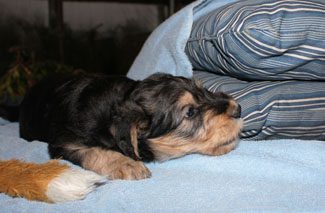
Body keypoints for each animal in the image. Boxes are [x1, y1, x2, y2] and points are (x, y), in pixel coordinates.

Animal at [19, 73, 242, 180]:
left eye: (204, 90)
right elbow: (92, 151)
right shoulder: (65, 140)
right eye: (190, 112)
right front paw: (126, 164)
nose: (238, 109)